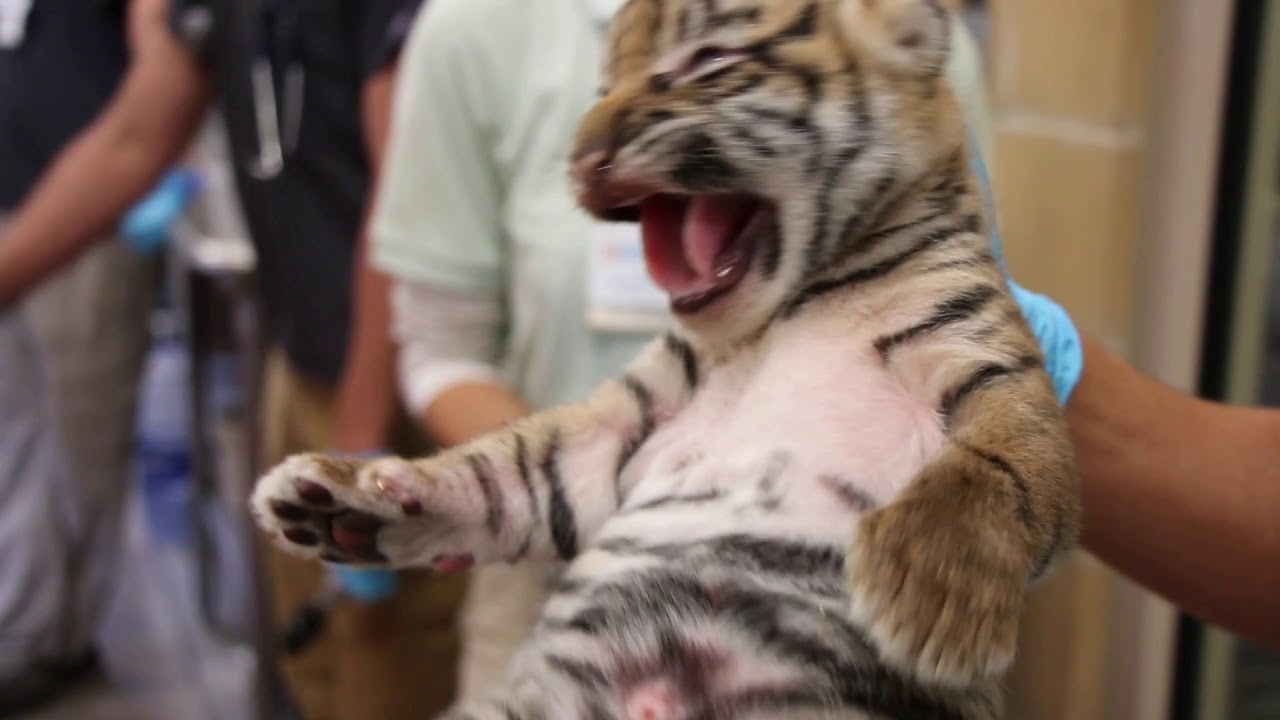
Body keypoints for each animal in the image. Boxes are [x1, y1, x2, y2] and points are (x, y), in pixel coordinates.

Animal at [250, 0, 1081, 717]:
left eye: (706, 60)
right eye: (602, 86)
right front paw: (342, 501)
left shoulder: (994, 365)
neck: (795, 304)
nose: (584, 157)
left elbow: (998, 469)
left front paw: (934, 601)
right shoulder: (621, 426)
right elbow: (496, 474)